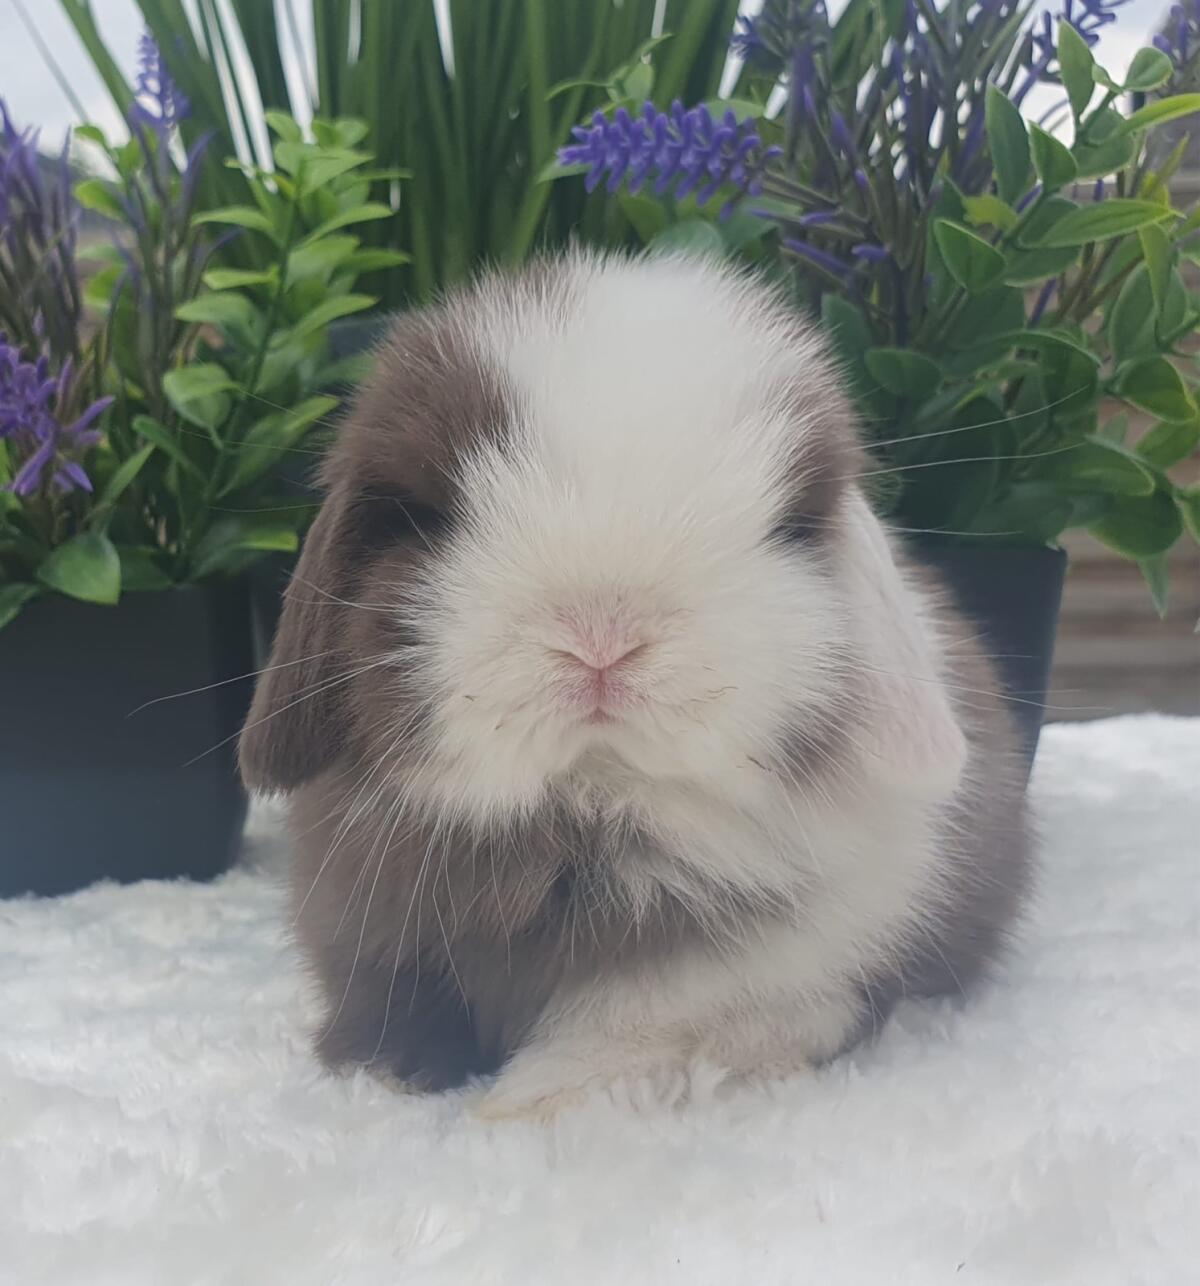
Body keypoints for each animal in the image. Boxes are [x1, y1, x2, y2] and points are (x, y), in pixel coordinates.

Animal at [239, 252, 1032, 1120]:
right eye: (429, 514)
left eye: (786, 526)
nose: (602, 638)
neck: (588, 811)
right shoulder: (368, 914)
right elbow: (388, 997)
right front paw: (386, 1071)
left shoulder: (758, 959)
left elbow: (643, 1026)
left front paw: (527, 1105)